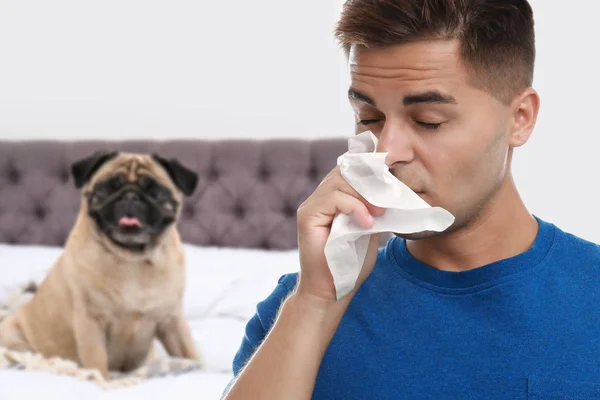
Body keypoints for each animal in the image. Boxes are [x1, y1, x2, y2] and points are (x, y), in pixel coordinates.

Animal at [0, 150, 202, 378]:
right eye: (107, 189)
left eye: (155, 192)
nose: (130, 196)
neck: (132, 260)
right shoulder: (90, 323)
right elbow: (97, 361)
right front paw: (103, 380)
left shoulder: (172, 321)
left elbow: (189, 353)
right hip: (14, 336)